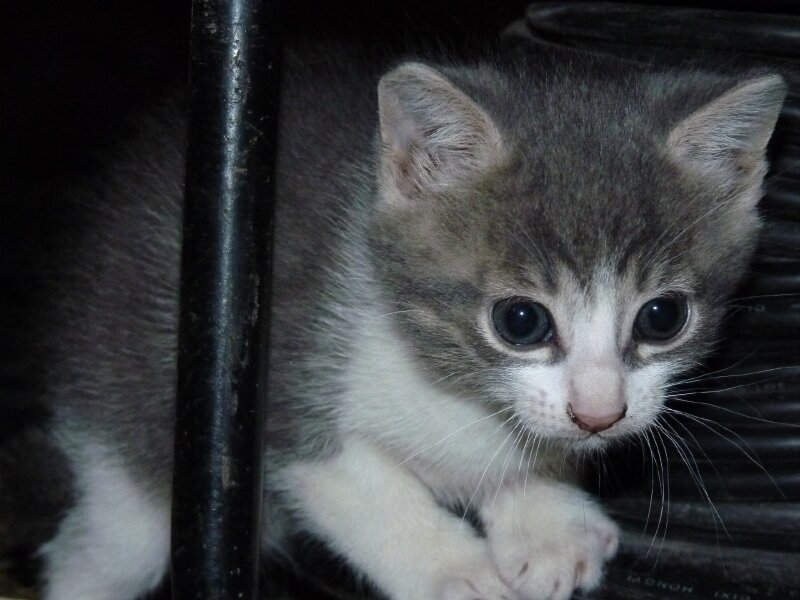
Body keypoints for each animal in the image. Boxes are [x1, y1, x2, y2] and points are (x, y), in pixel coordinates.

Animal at [34, 43, 784, 600]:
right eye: (520, 321)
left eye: (663, 316)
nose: (600, 415)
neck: (439, 374)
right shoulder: (279, 380)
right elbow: (362, 491)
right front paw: (455, 572)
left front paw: (546, 524)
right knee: (101, 551)